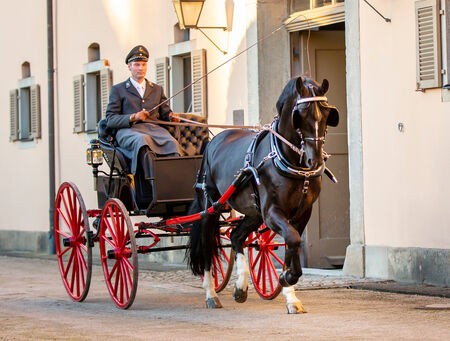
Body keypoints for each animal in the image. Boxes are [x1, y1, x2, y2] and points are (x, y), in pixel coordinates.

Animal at [188, 75, 340, 312]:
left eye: (326, 114)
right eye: (301, 114)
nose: (314, 160)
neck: (287, 160)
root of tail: (213, 141)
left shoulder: (302, 213)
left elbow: (292, 243)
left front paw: (290, 294)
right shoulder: (272, 212)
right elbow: (293, 240)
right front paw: (287, 277)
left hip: (253, 212)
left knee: (236, 236)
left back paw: (240, 288)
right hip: (211, 208)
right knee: (206, 247)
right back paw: (211, 294)